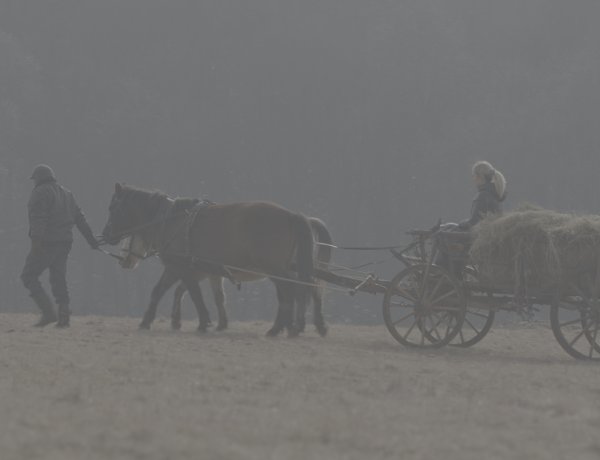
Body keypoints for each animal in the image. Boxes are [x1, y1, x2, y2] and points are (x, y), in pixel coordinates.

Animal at [103, 184, 316, 338]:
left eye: (113, 207)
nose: (105, 234)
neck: (170, 220)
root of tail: (289, 215)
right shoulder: (179, 269)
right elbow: (161, 291)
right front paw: (146, 321)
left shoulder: (180, 267)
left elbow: (193, 294)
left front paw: (204, 322)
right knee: (292, 291)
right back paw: (287, 327)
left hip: (273, 268)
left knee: (290, 290)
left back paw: (280, 328)